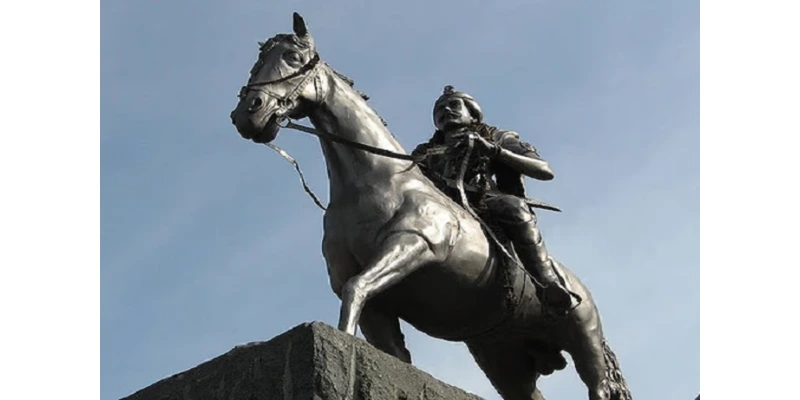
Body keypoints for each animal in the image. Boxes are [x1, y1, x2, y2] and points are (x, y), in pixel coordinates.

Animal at [227, 12, 632, 400]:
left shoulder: (413, 246)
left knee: (598, 386)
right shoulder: (371, 299)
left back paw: (557, 292)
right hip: (503, 358)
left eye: (292, 57)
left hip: (583, 340)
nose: (247, 113)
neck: (372, 183)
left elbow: (357, 290)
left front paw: (480, 143)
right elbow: (379, 331)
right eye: (257, 63)